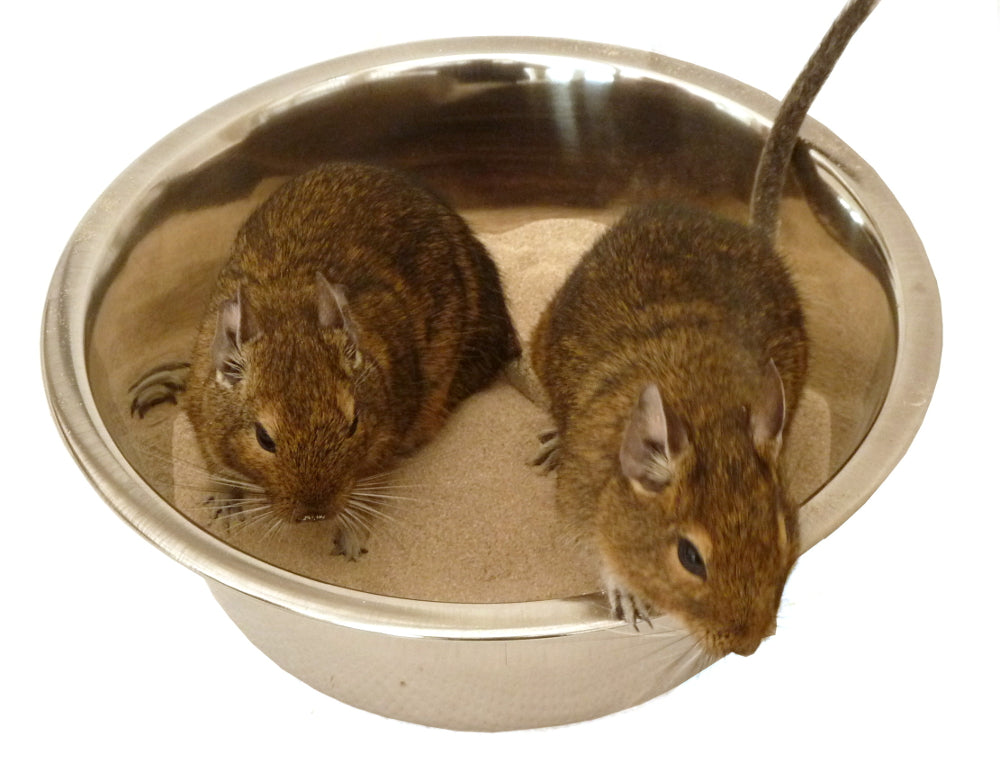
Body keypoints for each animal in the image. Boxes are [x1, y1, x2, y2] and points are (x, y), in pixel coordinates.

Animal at [184, 161, 520, 559]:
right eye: (264, 438)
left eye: (353, 424)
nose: (315, 513)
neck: (289, 303)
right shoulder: (199, 414)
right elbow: (216, 467)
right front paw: (225, 508)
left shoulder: (386, 441)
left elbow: (369, 490)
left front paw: (351, 543)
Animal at [529, 0, 879, 656]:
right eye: (691, 557)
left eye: (783, 533)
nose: (748, 646)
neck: (707, 403)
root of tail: (754, 235)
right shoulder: (578, 503)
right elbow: (599, 554)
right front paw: (628, 597)